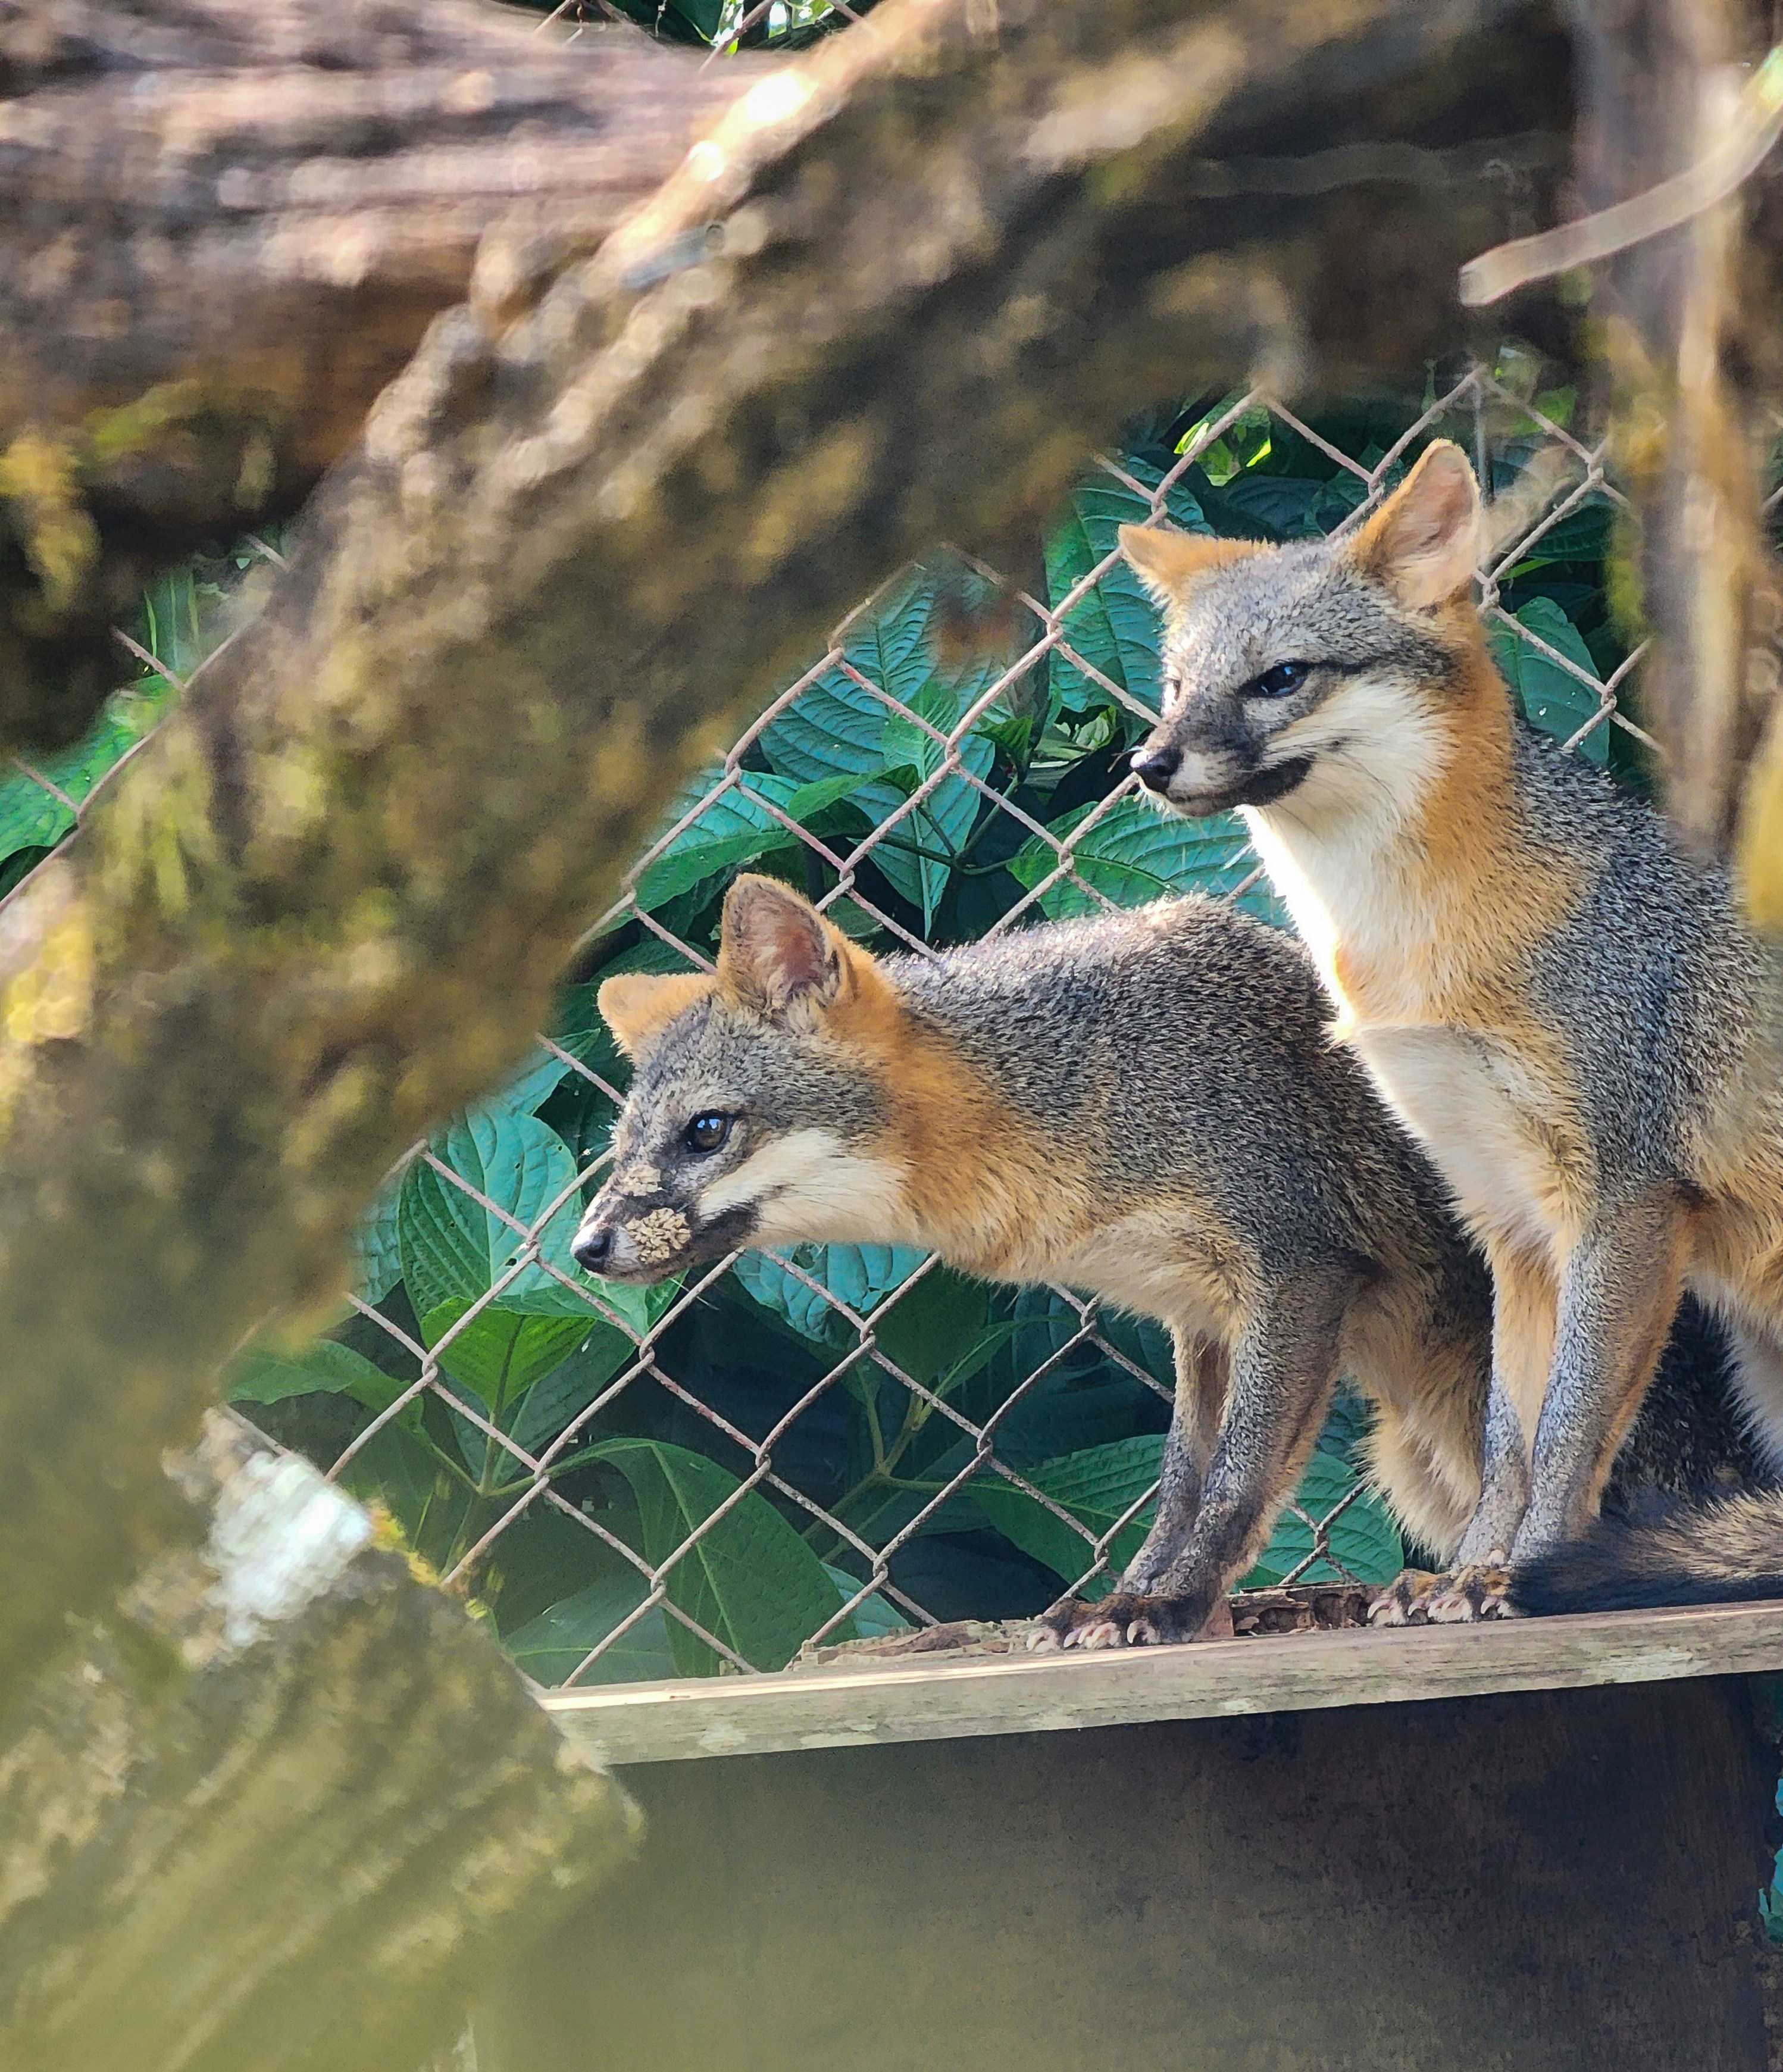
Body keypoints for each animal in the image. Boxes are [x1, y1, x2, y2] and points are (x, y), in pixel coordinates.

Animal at [568, 873, 1753, 1641]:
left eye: (705, 1133)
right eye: (619, 1147)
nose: (584, 1246)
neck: (1079, 1088)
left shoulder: (1296, 1270)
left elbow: (1235, 1483)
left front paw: (1169, 1604)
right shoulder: (1200, 1321)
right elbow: (1180, 1485)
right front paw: (1132, 1595)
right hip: (1410, 1454)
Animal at [1120, 438, 1783, 1619]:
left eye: (1280, 678)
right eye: (1175, 688)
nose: (1147, 764)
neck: (1412, 954)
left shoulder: (1623, 1199)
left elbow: (1567, 1429)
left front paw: (1528, 1573)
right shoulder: (1505, 1214)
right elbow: (1508, 1435)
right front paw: (1474, 1570)